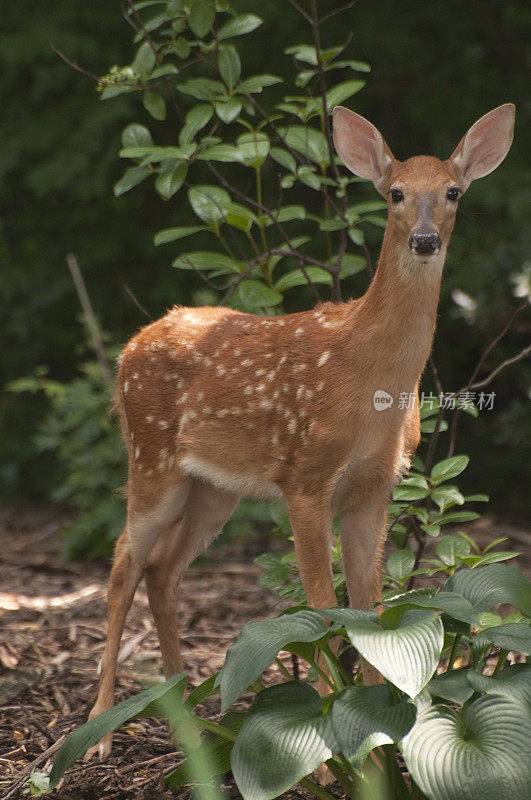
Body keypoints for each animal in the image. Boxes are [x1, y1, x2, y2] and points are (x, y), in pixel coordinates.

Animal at [86, 100, 516, 756]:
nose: (424, 240)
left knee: (162, 571)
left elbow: (371, 611)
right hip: (150, 456)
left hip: (215, 488)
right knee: (119, 570)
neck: (370, 384)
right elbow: (319, 611)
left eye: (453, 191)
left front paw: (378, 738)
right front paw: (322, 751)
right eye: (394, 193)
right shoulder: (305, 476)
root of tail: (129, 348)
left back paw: (191, 713)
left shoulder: (373, 489)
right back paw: (101, 731)